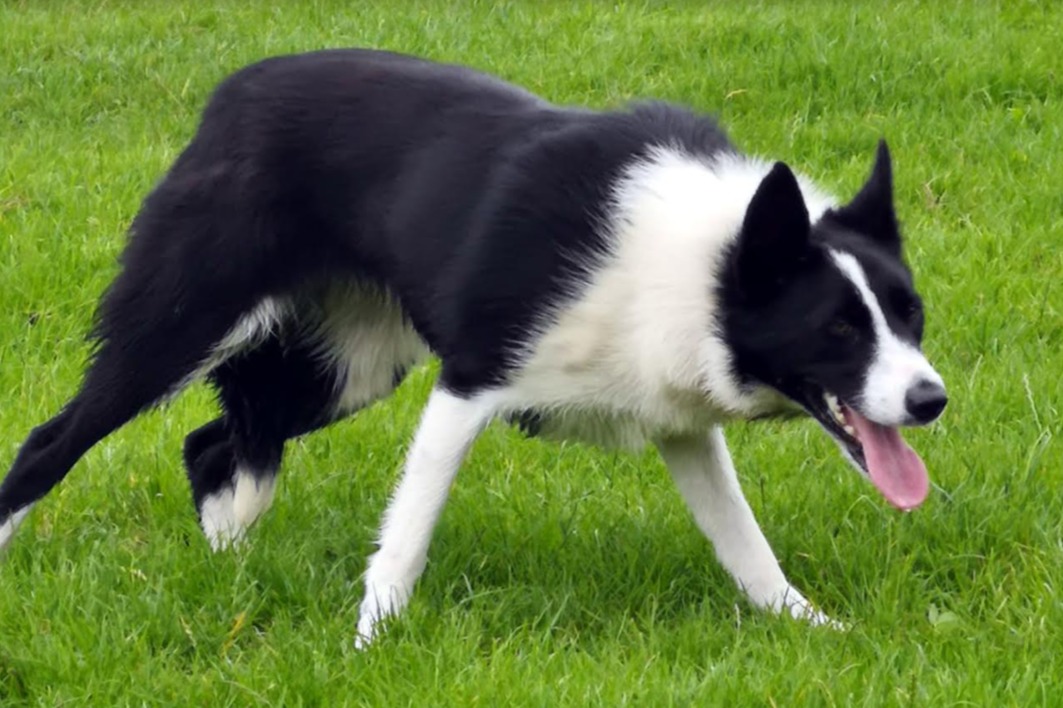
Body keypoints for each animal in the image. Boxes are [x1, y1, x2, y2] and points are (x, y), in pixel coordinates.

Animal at [0, 48, 948, 646]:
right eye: (836, 328)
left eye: (910, 316)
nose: (930, 401)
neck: (708, 261)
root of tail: (230, 95)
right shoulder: (469, 384)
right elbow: (406, 538)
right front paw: (370, 645)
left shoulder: (680, 423)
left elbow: (746, 546)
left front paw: (810, 627)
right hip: (181, 323)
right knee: (53, 442)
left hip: (346, 366)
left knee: (215, 442)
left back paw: (231, 569)